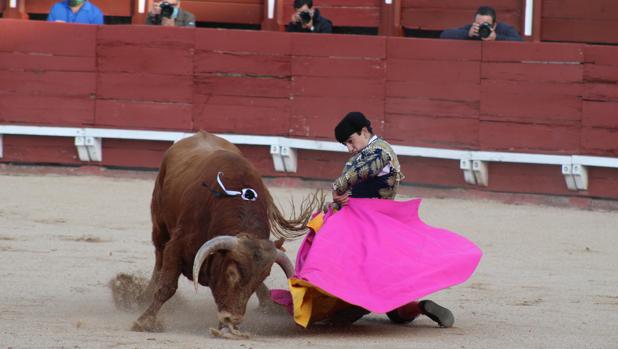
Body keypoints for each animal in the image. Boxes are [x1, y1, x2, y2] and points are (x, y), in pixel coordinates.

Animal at [132, 130, 320, 334]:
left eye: (262, 277)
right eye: (231, 273)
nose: (233, 318)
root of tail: (199, 134)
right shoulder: (176, 245)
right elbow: (167, 286)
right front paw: (144, 321)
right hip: (160, 226)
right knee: (159, 257)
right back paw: (143, 296)